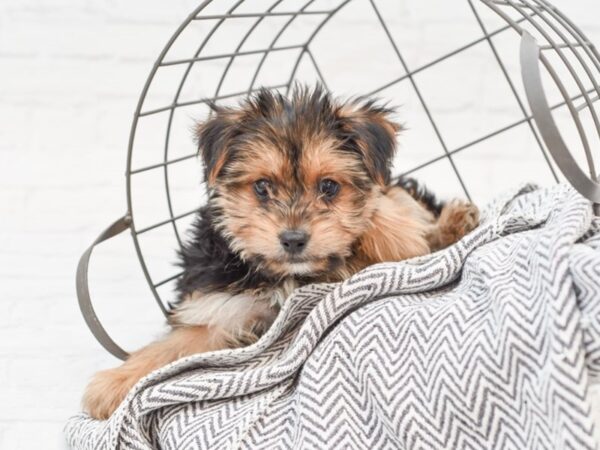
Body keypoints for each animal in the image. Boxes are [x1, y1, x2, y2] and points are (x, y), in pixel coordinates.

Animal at [83, 85, 478, 418]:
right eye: (261, 187)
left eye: (329, 187)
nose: (293, 239)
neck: (287, 275)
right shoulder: (220, 309)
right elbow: (174, 346)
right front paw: (114, 384)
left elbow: (386, 216)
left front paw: (393, 231)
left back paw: (453, 222)